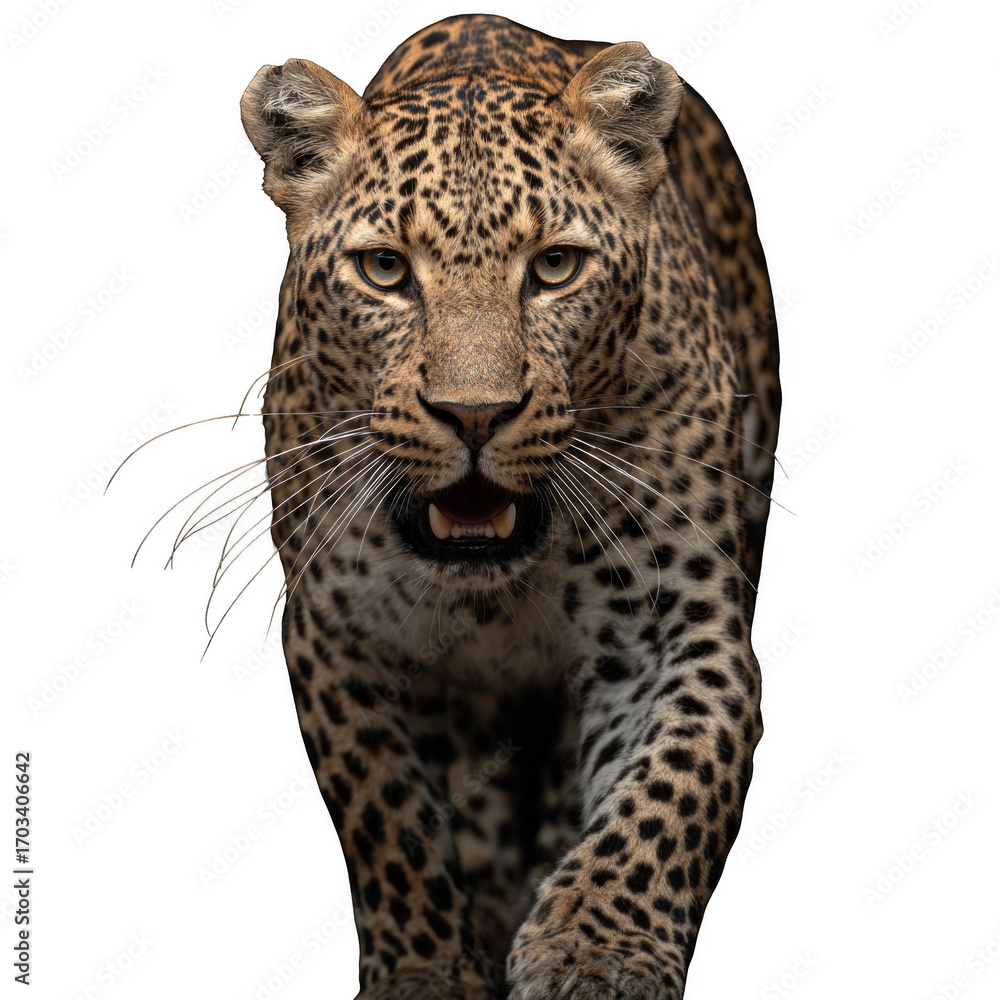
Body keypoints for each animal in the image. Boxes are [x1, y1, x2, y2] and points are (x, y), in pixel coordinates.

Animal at [238, 12, 780, 999]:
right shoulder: (338, 628)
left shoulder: (674, 627)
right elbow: (383, 809)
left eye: (555, 266)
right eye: (385, 269)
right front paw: (424, 968)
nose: (476, 413)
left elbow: (676, 781)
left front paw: (597, 947)